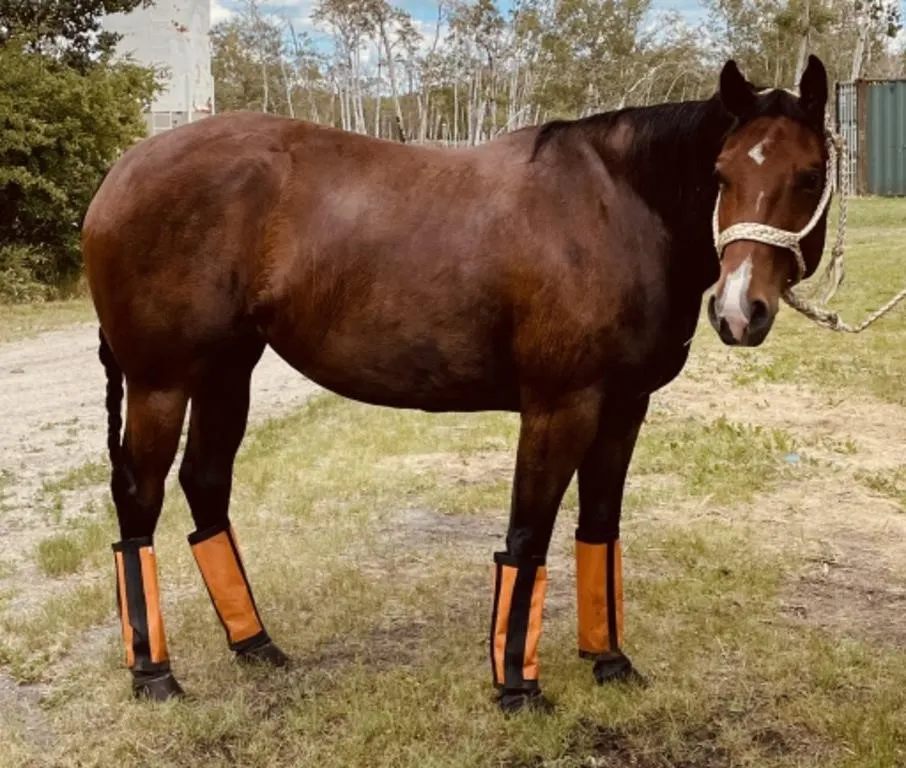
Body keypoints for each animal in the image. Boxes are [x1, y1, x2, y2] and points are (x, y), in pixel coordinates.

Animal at [81, 55, 832, 713]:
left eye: (809, 173)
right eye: (721, 173)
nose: (738, 310)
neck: (614, 208)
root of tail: (121, 172)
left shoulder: (624, 408)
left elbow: (599, 528)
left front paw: (610, 661)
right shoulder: (560, 406)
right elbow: (528, 535)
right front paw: (517, 689)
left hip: (225, 371)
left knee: (206, 486)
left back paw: (256, 645)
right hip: (160, 383)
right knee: (140, 502)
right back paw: (154, 675)